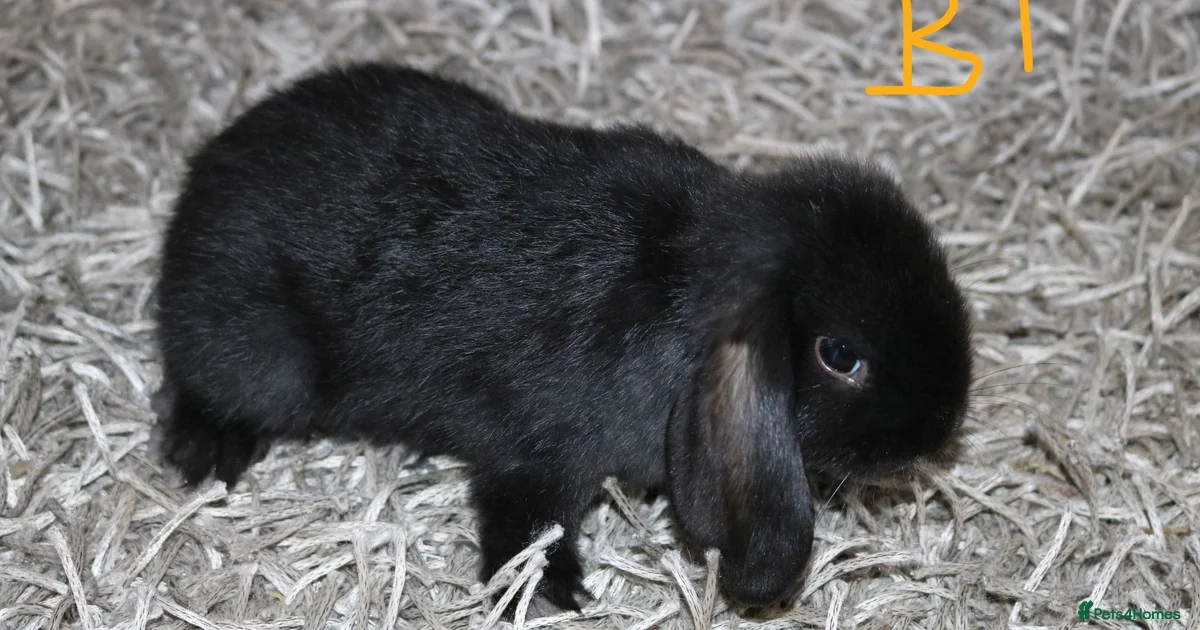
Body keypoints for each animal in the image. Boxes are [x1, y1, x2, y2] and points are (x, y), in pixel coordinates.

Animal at [153, 61, 973, 614]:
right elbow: (526, 525)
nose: (940, 431)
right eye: (841, 356)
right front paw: (556, 592)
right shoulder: (535, 453)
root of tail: (204, 180)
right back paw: (208, 449)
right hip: (261, 361)